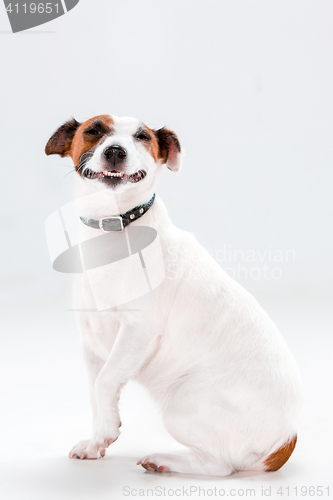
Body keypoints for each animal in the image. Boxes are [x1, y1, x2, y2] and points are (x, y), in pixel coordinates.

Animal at [44, 114, 300, 476]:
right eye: (94, 130)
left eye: (142, 137)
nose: (115, 151)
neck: (114, 225)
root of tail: (285, 440)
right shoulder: (92, 345)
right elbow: (96, 393)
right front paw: (97, 441)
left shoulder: (137, 332)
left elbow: (106, 381)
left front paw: (108, 432)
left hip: (182, 404)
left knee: (220, 466)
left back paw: (163, 460)